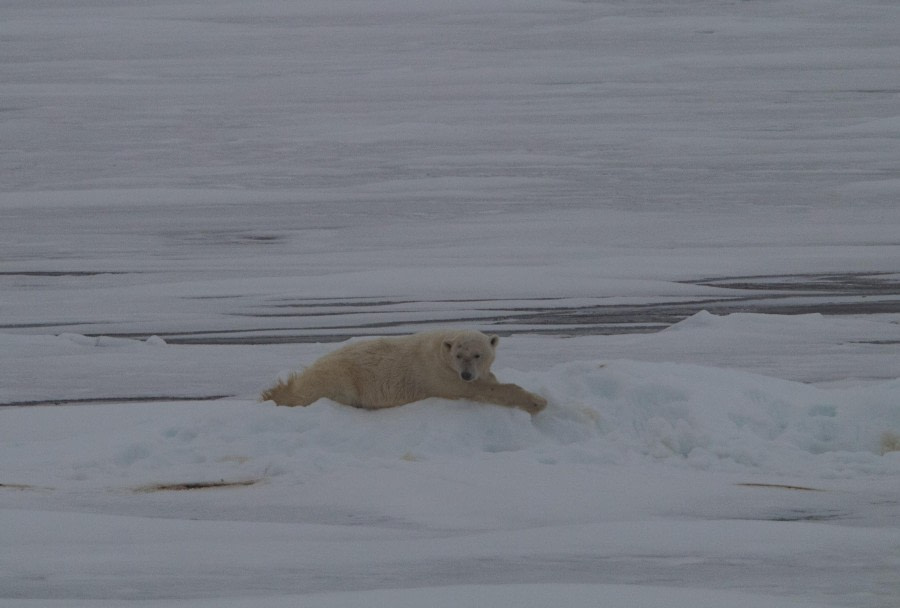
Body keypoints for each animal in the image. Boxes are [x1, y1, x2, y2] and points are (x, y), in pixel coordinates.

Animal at [256, 330, 544, 416]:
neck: (440, 351)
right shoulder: (440, 376)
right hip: (339, 378)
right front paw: (538, 402)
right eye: (459, 354)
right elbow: (481, 390)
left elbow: (488, 381)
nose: (467, 374)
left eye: (478, 354)